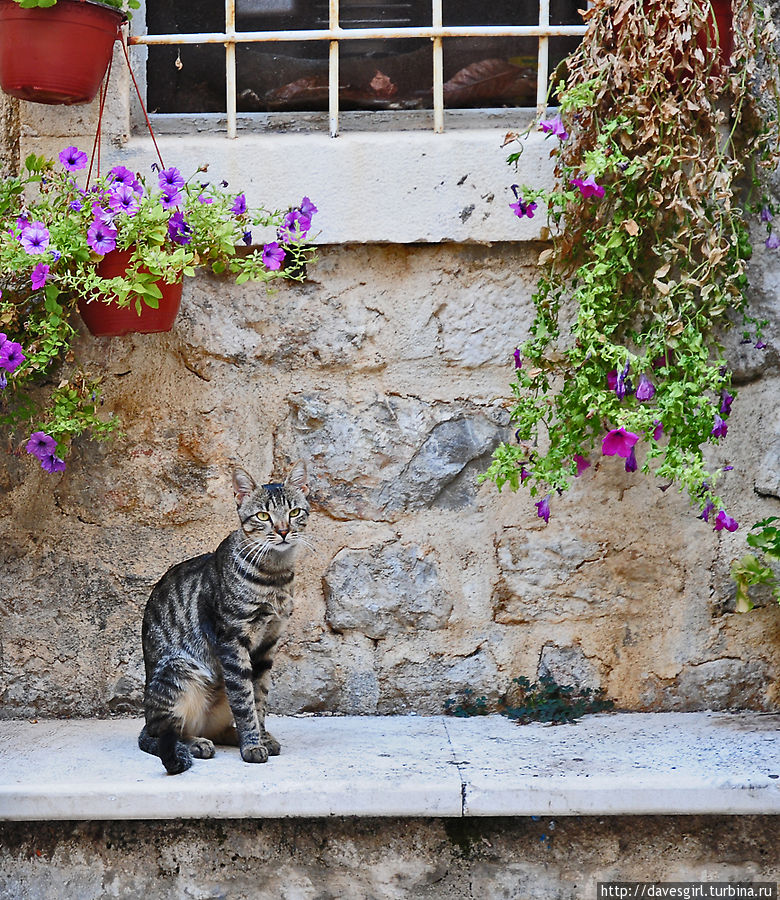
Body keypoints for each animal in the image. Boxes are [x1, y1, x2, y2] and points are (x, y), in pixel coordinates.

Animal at [137, 460, 310, 776]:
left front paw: (259, 736)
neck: (275, 577)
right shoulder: (232, 641)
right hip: (179, 671)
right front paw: (253, 745)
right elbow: (244, 700)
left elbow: (258, 699)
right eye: (263, 516)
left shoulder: (267, 646)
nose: (282, 531)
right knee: (163, 732)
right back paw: (196, 744)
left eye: (294, 512)